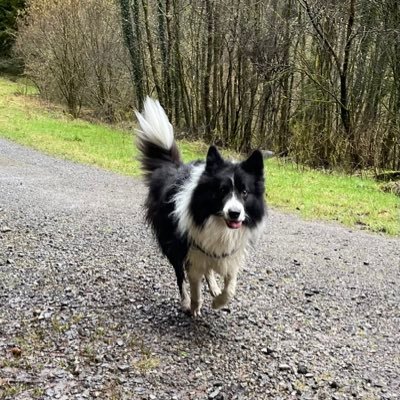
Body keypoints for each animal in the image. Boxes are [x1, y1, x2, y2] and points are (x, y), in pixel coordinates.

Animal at [135, 97, 266, 316]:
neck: (217, 223)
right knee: (180, 276)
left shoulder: (229, 254)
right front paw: (195, 306)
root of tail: (171, 169)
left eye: (244, 192)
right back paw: (185, 301)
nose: (234, 213)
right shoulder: (192, 252)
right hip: (173, 244)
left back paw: (213, 287)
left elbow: (230, 286)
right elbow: (194, 285)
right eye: (222, 191)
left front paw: (219, 301)